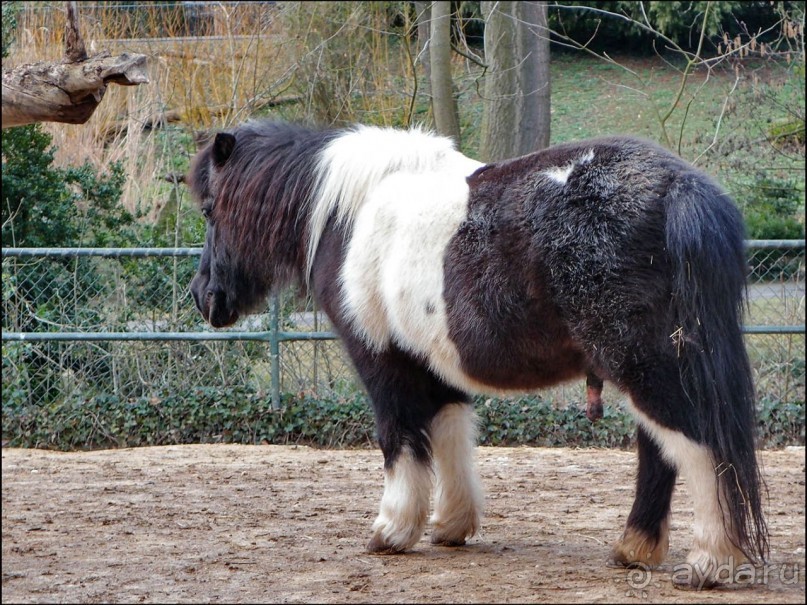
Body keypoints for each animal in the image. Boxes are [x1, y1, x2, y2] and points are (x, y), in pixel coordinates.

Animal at [189, 118, 772, 584]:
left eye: (211, 211)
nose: (204, 296)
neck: (347, 215)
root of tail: (680, 188)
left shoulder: (382, 360)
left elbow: (399, 438)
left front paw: (392, 529)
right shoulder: (433, 364)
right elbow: (449, 433)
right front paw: (451, 525)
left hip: (646, 365)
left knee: (697, 444)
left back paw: (711, 563)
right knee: (661, 451)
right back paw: (635, 549)